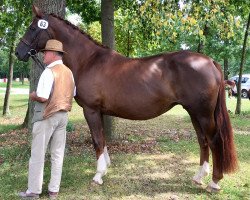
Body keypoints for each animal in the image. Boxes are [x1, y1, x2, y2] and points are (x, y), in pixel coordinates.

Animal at [14, 5, 237, 191]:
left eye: (32, 28)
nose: (18, 52)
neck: (88, 61)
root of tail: (209, 61)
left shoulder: (91, 110)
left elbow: (97, 140)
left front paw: (98, 176)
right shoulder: (99, 112)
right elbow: (102, 139)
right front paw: (105, 168)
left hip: (203, 114)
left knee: (214, 140)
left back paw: (214, 183)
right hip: (194, 112)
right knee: (202, 140)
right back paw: (199, 177)